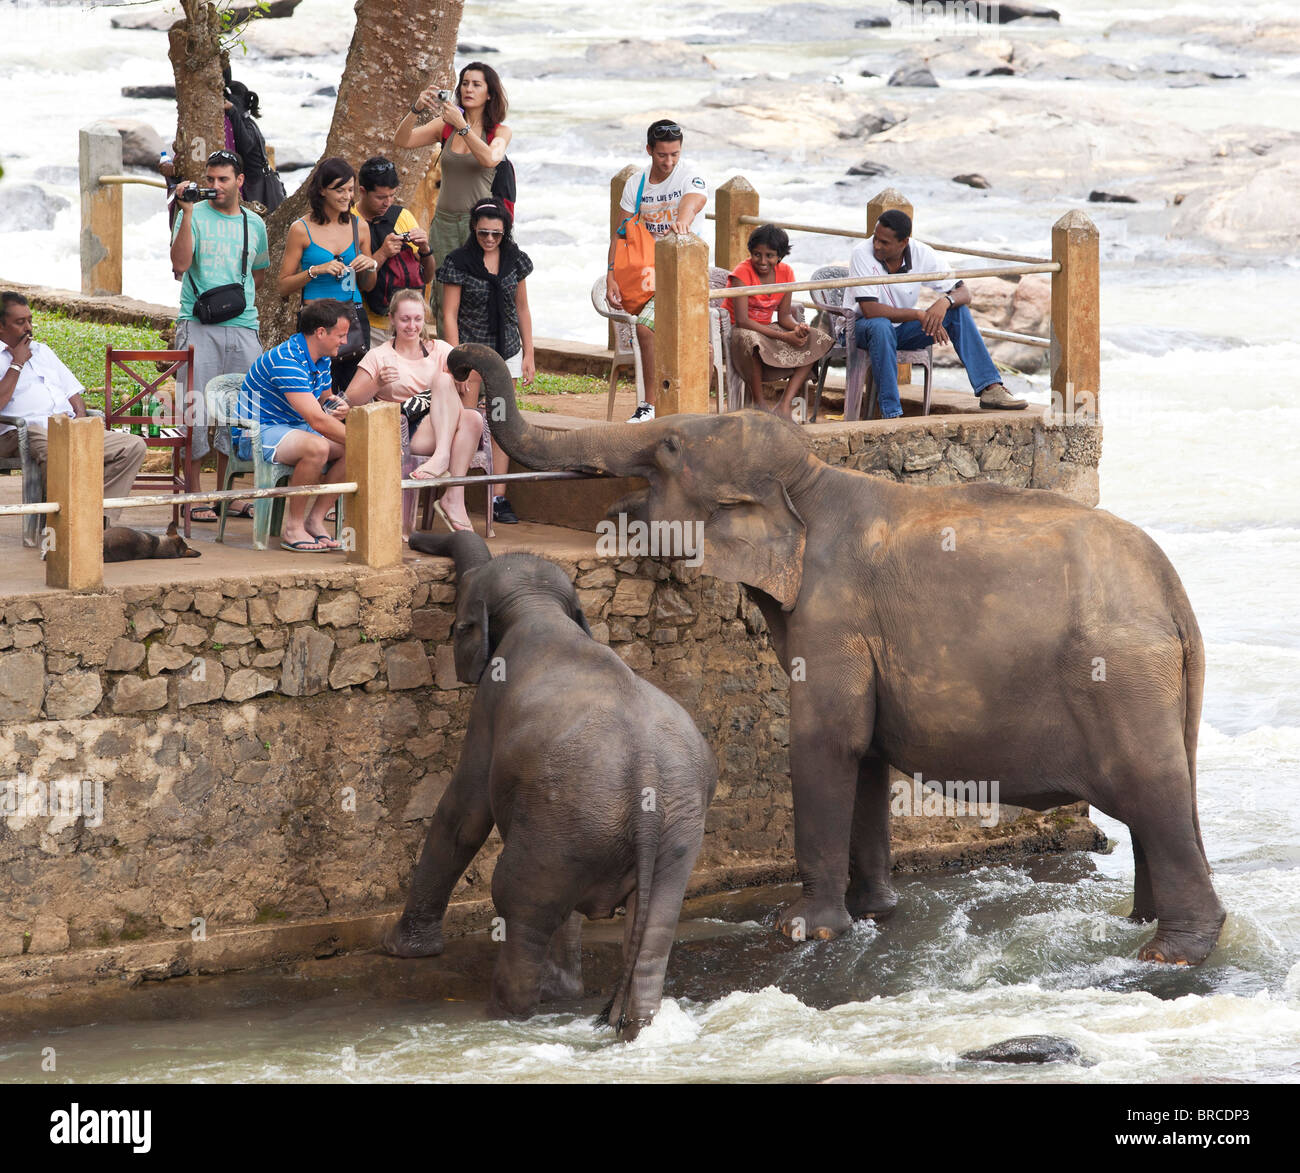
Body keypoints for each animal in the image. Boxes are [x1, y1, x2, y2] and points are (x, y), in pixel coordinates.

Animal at [384, 527, 717, 1040]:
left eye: (460, 625)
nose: (415, 536)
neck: (539, 607)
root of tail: (646, 778)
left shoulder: (489, 702)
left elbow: (464, 813)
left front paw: (403, 950)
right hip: (657, 836)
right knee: (652, 930)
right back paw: (623, 1022)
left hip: (566, 828)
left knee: (519, 908)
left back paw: (508, 1017)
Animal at [454, 343, 1227, 967]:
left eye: (670, 447)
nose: (460, 359)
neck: (813, 482)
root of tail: (1176, 596)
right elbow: (869, 756)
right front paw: (876, 911)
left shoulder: (834, 617)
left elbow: (828, 741)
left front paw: (804, 928)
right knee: (1169, 798)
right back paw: (1143, 924)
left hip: (1122, 678)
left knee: (1153, 794)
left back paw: (1170, 954)